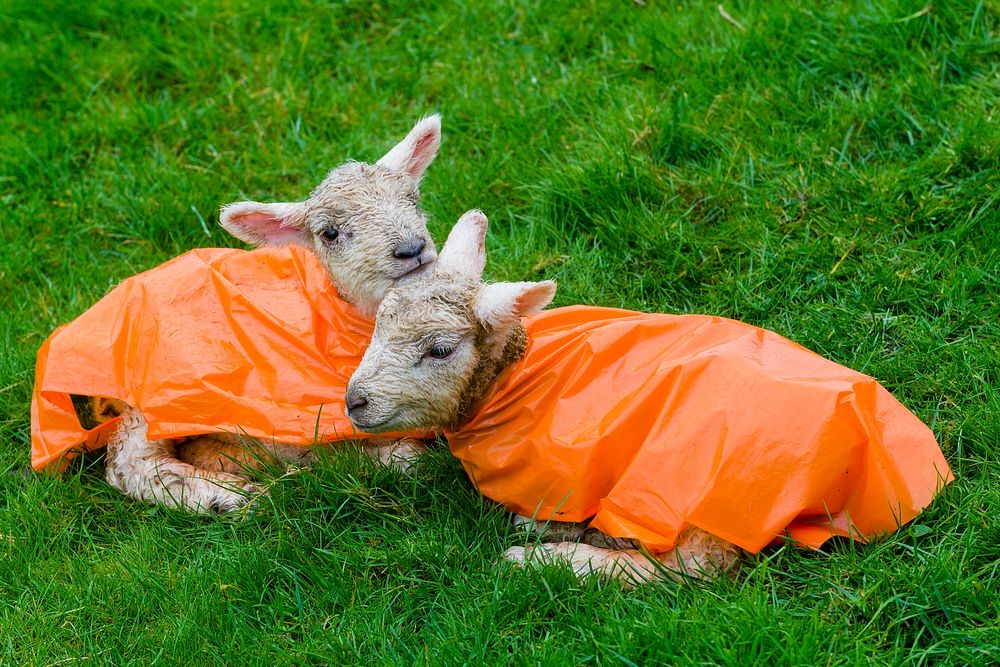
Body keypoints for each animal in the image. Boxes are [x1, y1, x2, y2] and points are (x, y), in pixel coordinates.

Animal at [37, 116, 442, 512]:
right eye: (329, 233)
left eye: (413, 198)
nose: (412, 249)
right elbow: (382, 457)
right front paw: (390, 456)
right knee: (130, 464)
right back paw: (230, 496)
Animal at [348, 211, 948, 588]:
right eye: (378, 322)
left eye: (441, 349)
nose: (354, 402)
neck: (516, 377)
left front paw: (543, 535)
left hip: (702, 479)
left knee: (690, 570)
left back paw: (545, 560)